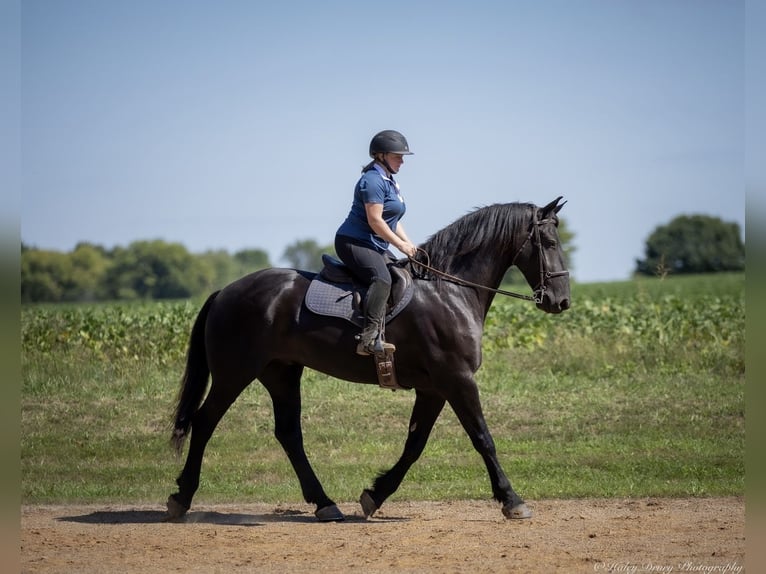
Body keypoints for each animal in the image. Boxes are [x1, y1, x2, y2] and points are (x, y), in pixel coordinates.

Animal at [167, 196, 571, 522]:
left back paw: (325, 504)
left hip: (280, 373)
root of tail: (225, 291)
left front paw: (374, 495)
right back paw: (181, 498)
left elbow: (414, 445)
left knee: (288, 434)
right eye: (549, 242)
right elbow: (483, 438)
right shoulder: (457, 379)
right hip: (235, 373)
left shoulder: (433, 389)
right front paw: (512, 501)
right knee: (204, 423)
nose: (562, 301)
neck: (448, 291)